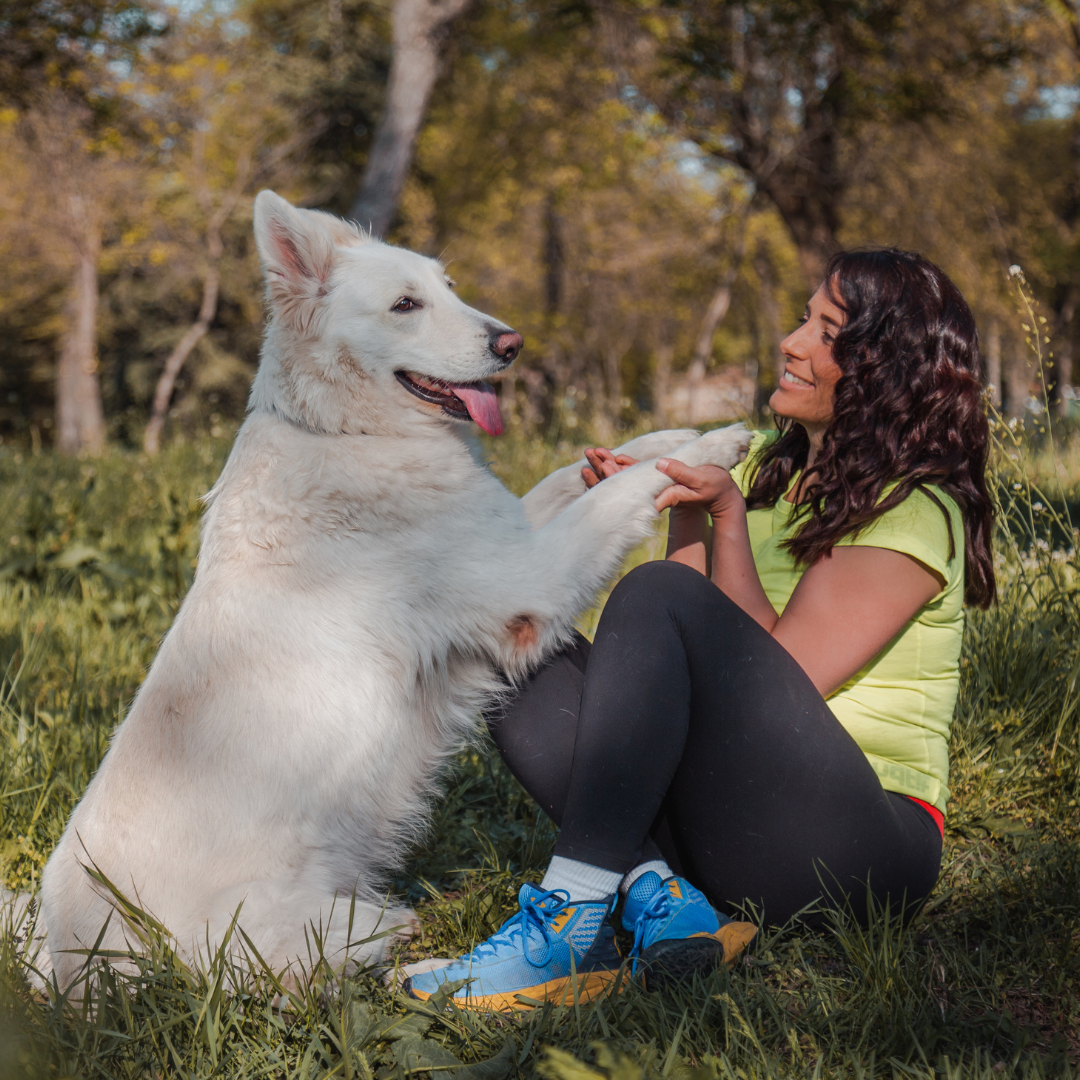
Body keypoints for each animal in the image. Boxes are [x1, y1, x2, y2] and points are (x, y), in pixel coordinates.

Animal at [39, 192, 751, 989]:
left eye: (448, 286)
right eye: (406, 305)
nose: (513, 344)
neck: (343, 431)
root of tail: (60, 963)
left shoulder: (509, 534)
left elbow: (584, 471)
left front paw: (669, 435)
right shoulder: (530, 580)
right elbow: (620, 494)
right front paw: (715, 445)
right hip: (276, 935)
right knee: (342, 954)